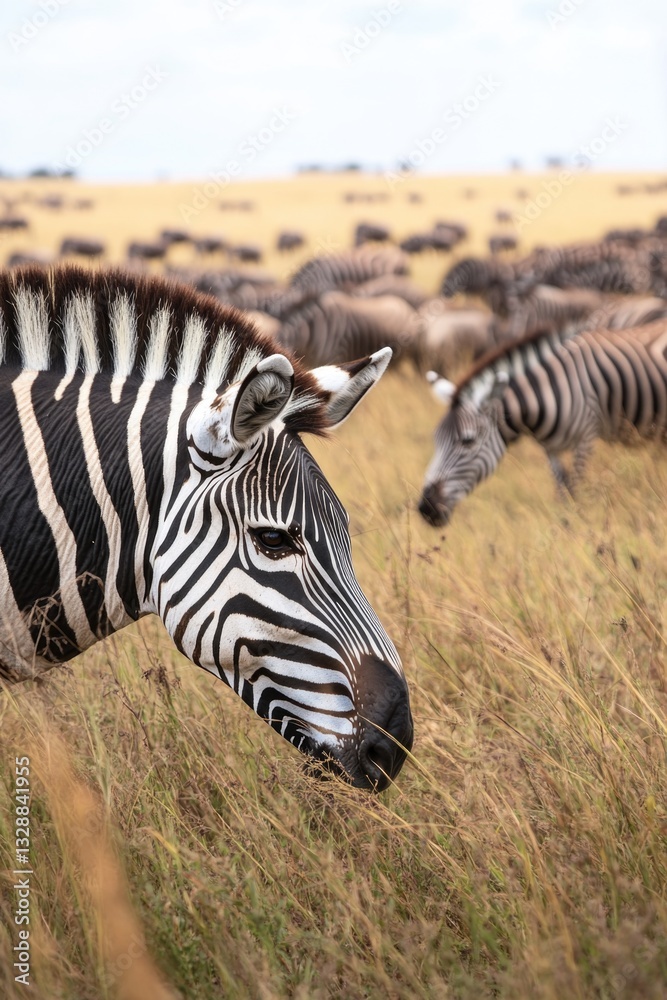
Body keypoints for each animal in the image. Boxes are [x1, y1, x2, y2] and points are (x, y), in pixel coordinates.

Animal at [418, 321, 667, 527]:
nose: (425, 509)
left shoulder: (586, 438)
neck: (546, 392)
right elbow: (562, 489)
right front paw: (563, 526)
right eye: (436, 440)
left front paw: (573, 527)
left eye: (468, 441)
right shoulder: (551, 449)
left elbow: (573, 488)